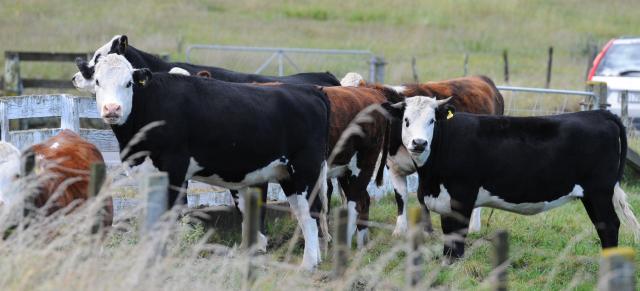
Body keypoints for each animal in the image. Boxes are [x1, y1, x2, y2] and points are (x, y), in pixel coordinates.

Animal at [93, 54, 332, 270]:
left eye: (128, 83)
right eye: (97, 82)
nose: (112, 109)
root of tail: (310, 90)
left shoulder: (174, 169)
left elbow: (168, 215)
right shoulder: (145, 173)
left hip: (304, 170)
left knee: (309, 213)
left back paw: (308, 264)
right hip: (287, 174)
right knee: (305, 212)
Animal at [342, 72, 502, 235]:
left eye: (432, 121)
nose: (419, 143)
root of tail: (481, 78)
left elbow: (421, 195)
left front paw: (427, 229)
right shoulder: (393, 166)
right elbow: (400, 196)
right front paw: (400, 230)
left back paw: (474, 227)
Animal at [384, 97, 640, 264]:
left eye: (432, 121)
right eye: (406, 120)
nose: (419, 143)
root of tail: (598, 113)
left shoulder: (462, 196)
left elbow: (457, 238)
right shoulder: (445, 201)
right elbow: (449, 235)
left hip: (599, 191)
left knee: (610, 225)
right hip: (592, 195)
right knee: (603, 225)